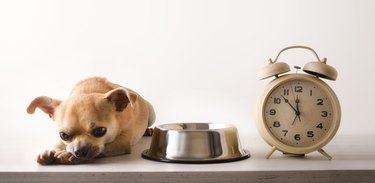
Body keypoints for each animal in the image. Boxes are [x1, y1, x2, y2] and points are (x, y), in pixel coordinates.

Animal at [26, 76, 156, 165]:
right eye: (63, 135)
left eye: (100, 131)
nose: (79, 151)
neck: (87, 91)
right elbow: (58, 144)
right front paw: (50, 152)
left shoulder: (122, 142)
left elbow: (104, 148)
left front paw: (67, 155)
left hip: (152, 113)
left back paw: (148, 130)